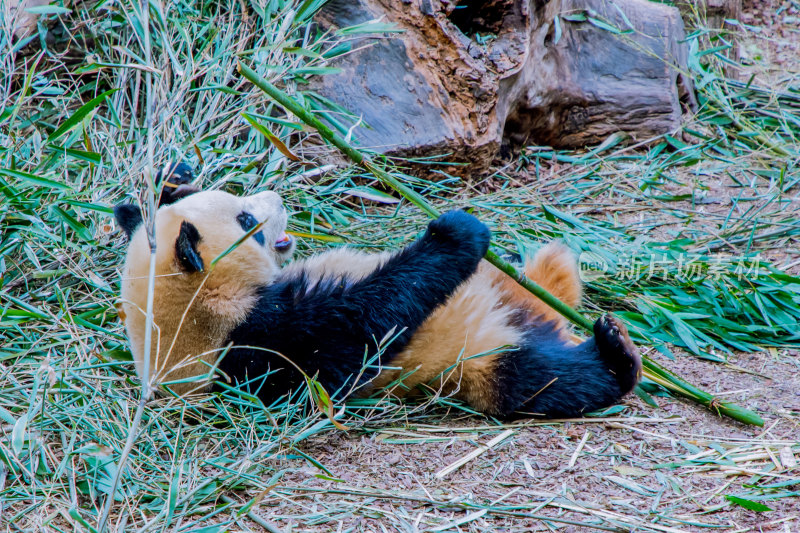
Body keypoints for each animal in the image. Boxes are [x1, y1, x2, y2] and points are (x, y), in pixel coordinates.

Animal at [115, 166, 644, 416]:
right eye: (247, 221)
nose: (276, 199)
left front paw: (171, 181)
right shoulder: (259, 349)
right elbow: (366, 325)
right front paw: (457, 233)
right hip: (474, 358)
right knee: (546, 379)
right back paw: (616, 352)